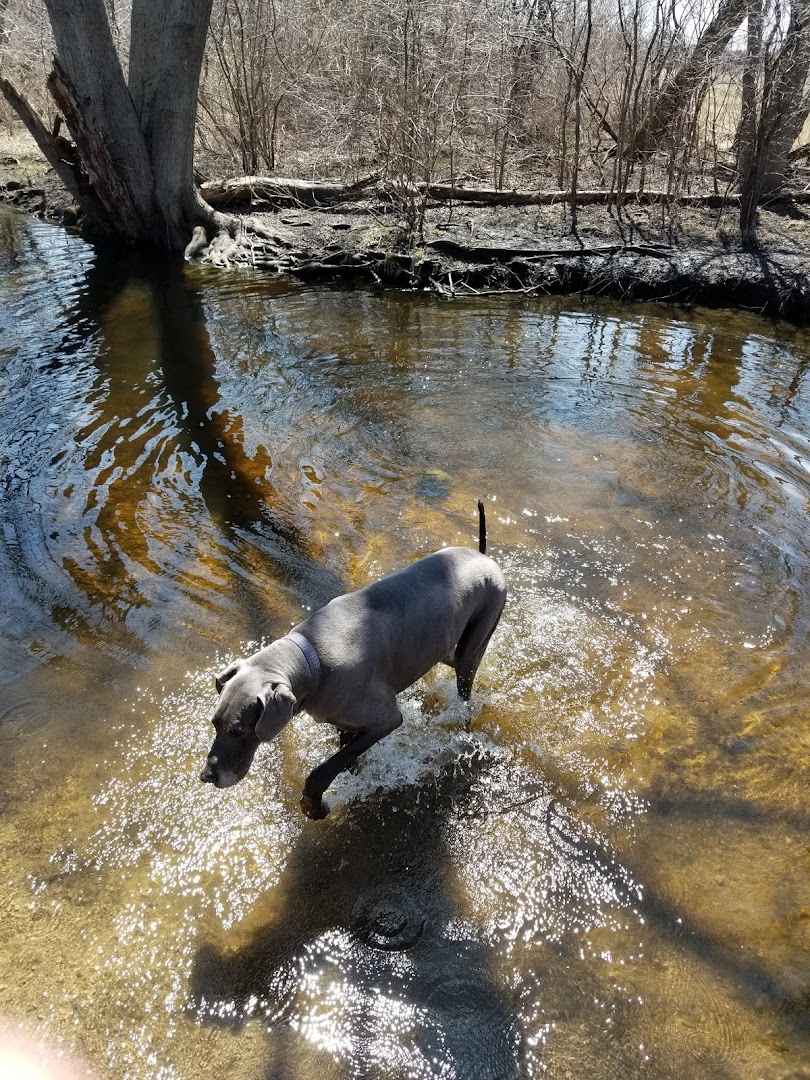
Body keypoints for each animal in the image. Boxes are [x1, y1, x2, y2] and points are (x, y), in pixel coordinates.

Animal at [201, 503, 507, 816]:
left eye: (238, 731)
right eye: (214, 723)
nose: (207, 776)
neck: (312, 659)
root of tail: (483, 556)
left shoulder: (386, 719)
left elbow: (324, 770)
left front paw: (315, 805)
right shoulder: (346, 721)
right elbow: (346, 757)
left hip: (477, 635)